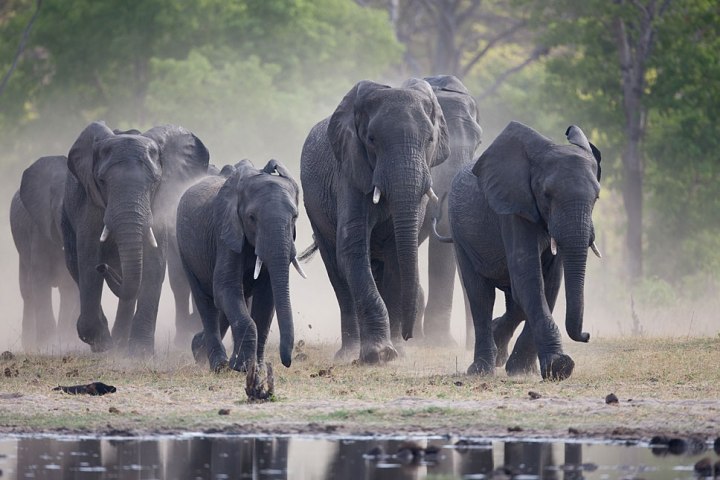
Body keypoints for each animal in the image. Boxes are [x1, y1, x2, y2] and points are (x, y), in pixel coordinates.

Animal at [10, 155, 79, 350]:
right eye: (60, 218)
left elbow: (70, 285)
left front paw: (65, 343)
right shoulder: (38, 227)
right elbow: (40, 278)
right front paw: (47, 345)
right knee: (27, 292)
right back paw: (29, 346)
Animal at [61, 122, 209, 354]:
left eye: (155, 181)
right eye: (102, 181)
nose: (103, 267)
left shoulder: (158, 203)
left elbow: (154, 262)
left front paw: (140, 353)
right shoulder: (89, 202)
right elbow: (88, 257)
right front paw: (102, 345)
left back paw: (121, 343)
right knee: (76, 267)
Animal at [177, 159, 303, 373]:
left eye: (295, 216)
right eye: (251, 217)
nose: (287, 362)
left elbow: (265, 298)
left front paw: (256, 368)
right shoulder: (226, 232)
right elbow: (225, 288)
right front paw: (242, 367)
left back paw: (201, 350)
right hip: (184, 250)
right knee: (206, 302)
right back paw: (218, 364)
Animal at [300, 78, 450, 363]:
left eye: (430, 140)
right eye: (371, 140)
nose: (409, 336)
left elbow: (397, 257)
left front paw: (398, 353)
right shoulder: (348, 170)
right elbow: (352, 249)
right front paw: (379, 354)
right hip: (314, 210)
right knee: (337, 273)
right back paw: (348, 354)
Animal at [441, 122, 601, 380]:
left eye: (596, 198)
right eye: (547, 195)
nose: (586, 335)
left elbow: (549, 284)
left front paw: (522, 370)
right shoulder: (512, 209)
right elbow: (530, 279)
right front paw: (560, 367)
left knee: (513, 299)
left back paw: (499, 347)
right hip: (459, 233)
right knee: (480, 294)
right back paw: (481, 369)